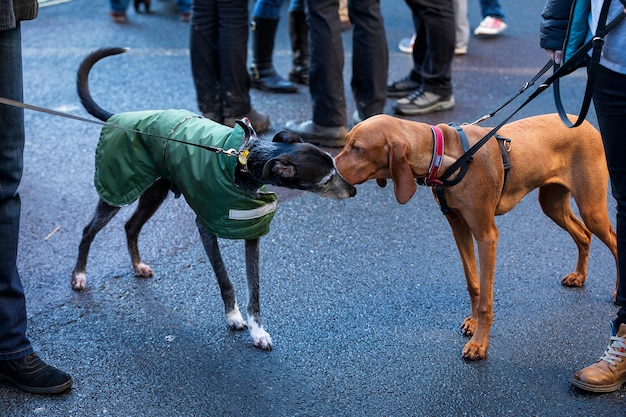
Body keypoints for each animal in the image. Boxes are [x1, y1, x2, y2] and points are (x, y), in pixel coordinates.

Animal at [334, 113, 616, 358]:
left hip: (591, 208)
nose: (330, 169)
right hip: (552, 203)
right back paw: (579, 276)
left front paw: (479, 344)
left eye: (357, 148)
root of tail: (585, 123)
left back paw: (616, 293)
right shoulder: (458, 227)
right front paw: (472, 322)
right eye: (346, 142)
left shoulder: (486, 235)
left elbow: (486, 300)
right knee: (583, 235)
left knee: (613, 240)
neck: (444, 155)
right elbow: (473, 283)